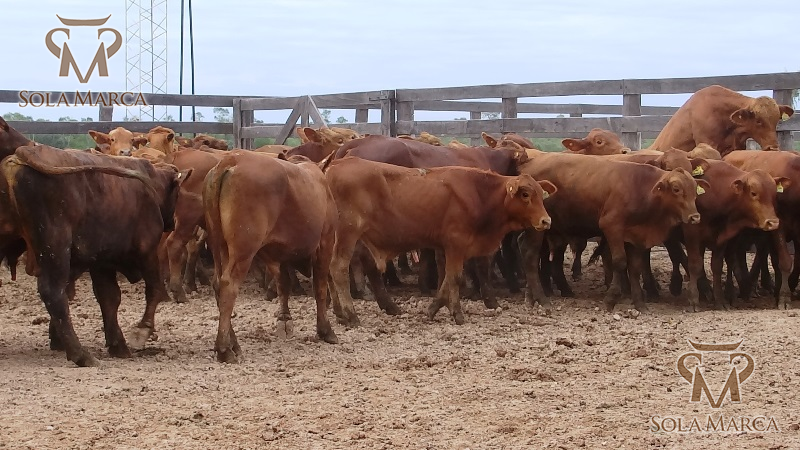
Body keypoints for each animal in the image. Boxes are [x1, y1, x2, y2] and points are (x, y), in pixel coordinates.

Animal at [1, 144, 189, 366]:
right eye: (177, 193)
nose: (173, 222)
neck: (150, 185)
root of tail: (22, 154)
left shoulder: (101, 262)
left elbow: (109, 298)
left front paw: (117, 344)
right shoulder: (147, 252)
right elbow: (154, 291)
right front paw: (141, 331)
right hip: (55, 248)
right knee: (53, 293)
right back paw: (80, 354)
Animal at [203, 151, 338, 363]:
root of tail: (232, 158)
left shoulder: (279, 251)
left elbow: (283, 284)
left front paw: (284, 319)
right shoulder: (325, 243)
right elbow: (320, 289)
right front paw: (325, 330)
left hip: (219, 245)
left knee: (218, 284)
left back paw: (233, 344)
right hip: (244, 249)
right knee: (228, 285)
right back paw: (224, 348)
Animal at [325, 157, 555, 326]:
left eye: (541, 194)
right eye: (525, 194)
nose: (546, 221)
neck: (480, 192)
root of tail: (335, 165)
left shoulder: (448, 247)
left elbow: (447, 277)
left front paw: (436, 307)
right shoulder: (456, 244)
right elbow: (454, 277)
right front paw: (455, 312)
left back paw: (339, 313)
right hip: (347, 233)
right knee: (338, 269)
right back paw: (351, 315)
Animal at [517, 153, 708, 313]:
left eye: (694, 189)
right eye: (676, 188)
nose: (695, 217)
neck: (641, 188)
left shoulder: (635, 235)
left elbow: (635, 267)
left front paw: (639, 303)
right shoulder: (612, 227)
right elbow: (619, 261)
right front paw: (611, 299)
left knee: (528, 252)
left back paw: (531, 297)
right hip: (538, 228)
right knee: (531, 256)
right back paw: (541, 298)